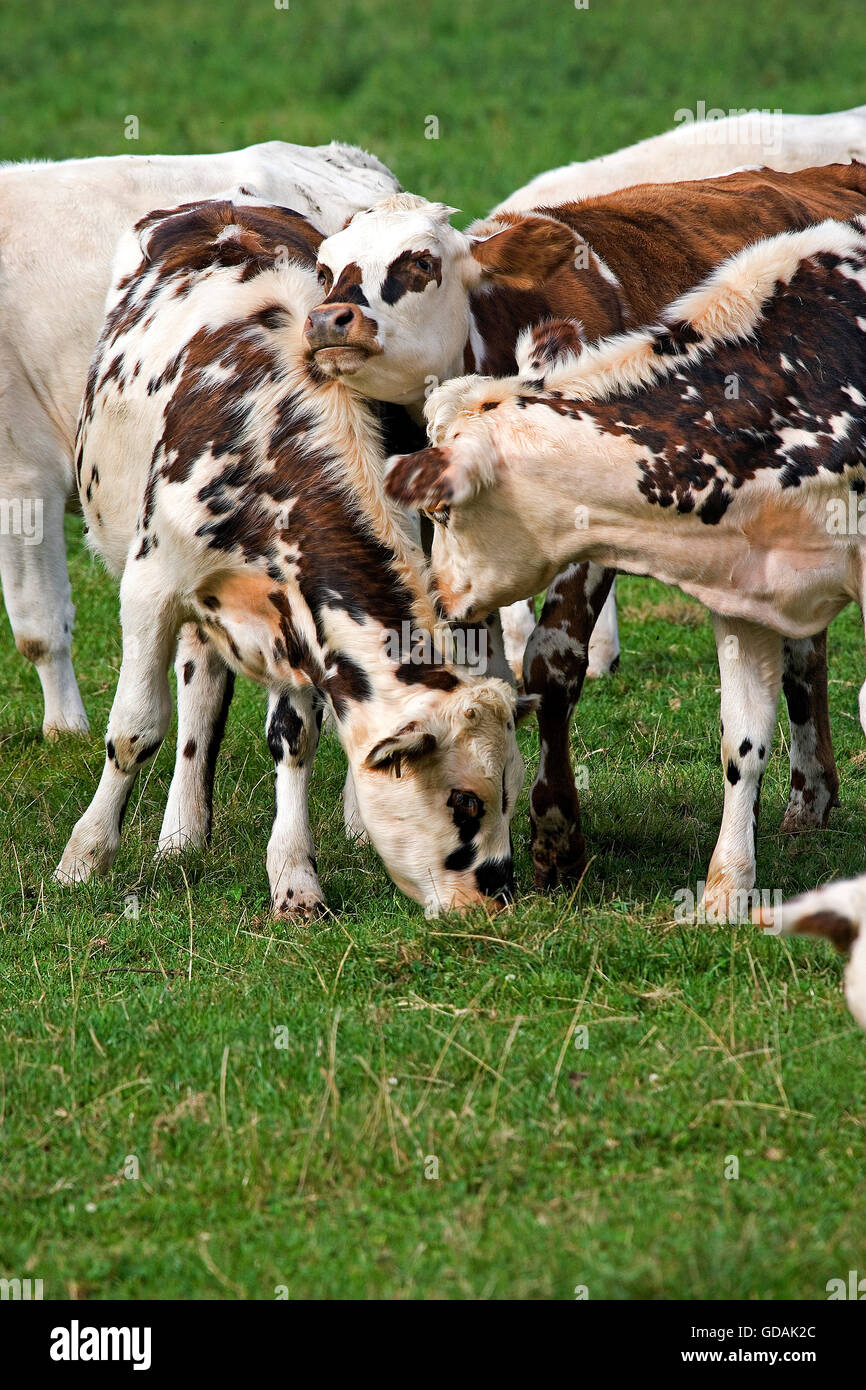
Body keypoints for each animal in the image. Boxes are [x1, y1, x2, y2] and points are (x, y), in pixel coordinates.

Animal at [53, 198, 527, 918]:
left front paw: (295, 877)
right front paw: (85, 855)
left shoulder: (299, 611)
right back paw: (180, 835)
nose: (497, 897)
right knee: (195, 692)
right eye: (466, 802)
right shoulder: (149, 585)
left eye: (508, 791)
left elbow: (295, 737)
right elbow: (135, 729)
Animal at [302, 162, 866, 889]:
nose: (328, 319)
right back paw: (811, 792)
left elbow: (552, 664)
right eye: (324, 268)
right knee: (805, 648)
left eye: (420, 262)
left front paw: (557, 835)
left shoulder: (591, 530)